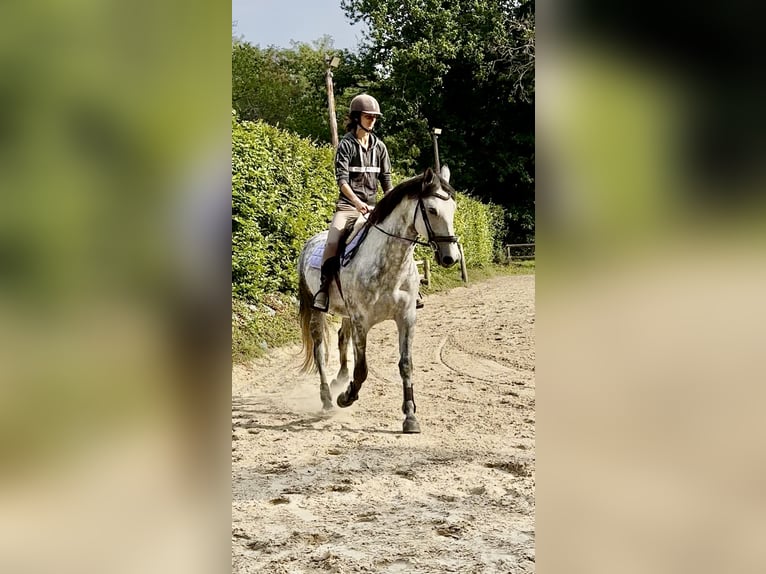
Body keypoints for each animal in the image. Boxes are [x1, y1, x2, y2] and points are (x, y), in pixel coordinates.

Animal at [296, 166, 460, 433]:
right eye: (432, 210)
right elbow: (362, 369)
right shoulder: (362, 321)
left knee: (341, 338)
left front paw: (410, 417)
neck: (390, 265)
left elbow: (406, 364)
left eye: (453, 209)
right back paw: (328, 399)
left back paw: (339, 379)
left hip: (346, 313)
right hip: (318, 310)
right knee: (320, 351)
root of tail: (309, 243)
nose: (450, 258)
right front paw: (346, 397)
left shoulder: (406, 318)